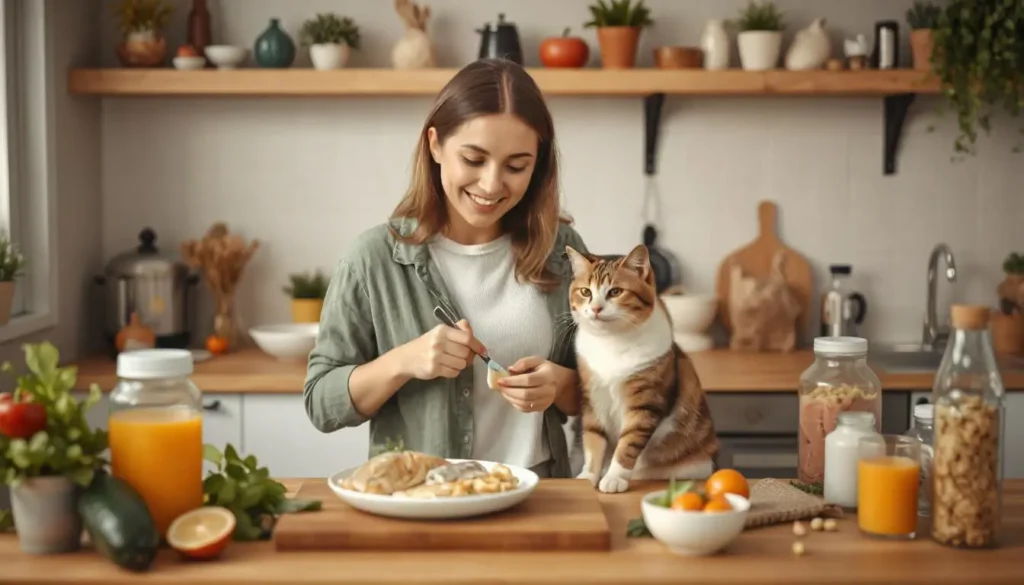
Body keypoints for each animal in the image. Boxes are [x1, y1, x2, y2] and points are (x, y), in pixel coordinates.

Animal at [569, 243, 720, 493]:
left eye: (615, 292)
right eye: (585, 292)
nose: (596, 308)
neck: (610, 343)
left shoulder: (646, 401)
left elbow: (628, 442)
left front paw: (614, 478)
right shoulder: (592, 397)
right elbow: (593, 440)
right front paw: (587, 476)